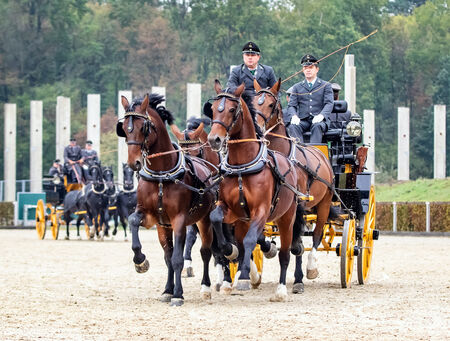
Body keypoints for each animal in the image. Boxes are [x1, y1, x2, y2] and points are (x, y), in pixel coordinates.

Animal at [117, 93, 217, 306]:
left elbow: (178, 259)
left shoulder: (179, 220)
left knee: (206, 251)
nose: (133, 162)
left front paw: (178, 294)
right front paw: (142, 262)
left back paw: (206, 286)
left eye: (143, 127)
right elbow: (165, 254)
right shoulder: (155, 219)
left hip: (205, 220)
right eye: (125, 129)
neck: (162, 175)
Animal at [206, 80, 300, 300]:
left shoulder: (262, 210)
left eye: (232, 110)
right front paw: (229, 251)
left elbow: (251, 240)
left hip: (286, 218)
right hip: (243, 220)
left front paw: (242, 278)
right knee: (244, 242)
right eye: (213, 109)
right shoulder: (230, 209)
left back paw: (281, 289)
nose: (214, 139)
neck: (242, 166)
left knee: (284, 253)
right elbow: (216, 219)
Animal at [253, 78, 334, 290]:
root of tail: (320, 151)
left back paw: (307, 271)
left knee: (316, 235)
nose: (257, 127)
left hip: (324, 203)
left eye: (271, 105)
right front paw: (268, 250)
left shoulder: (296, 204)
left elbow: (297, 243)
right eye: (254, 102)